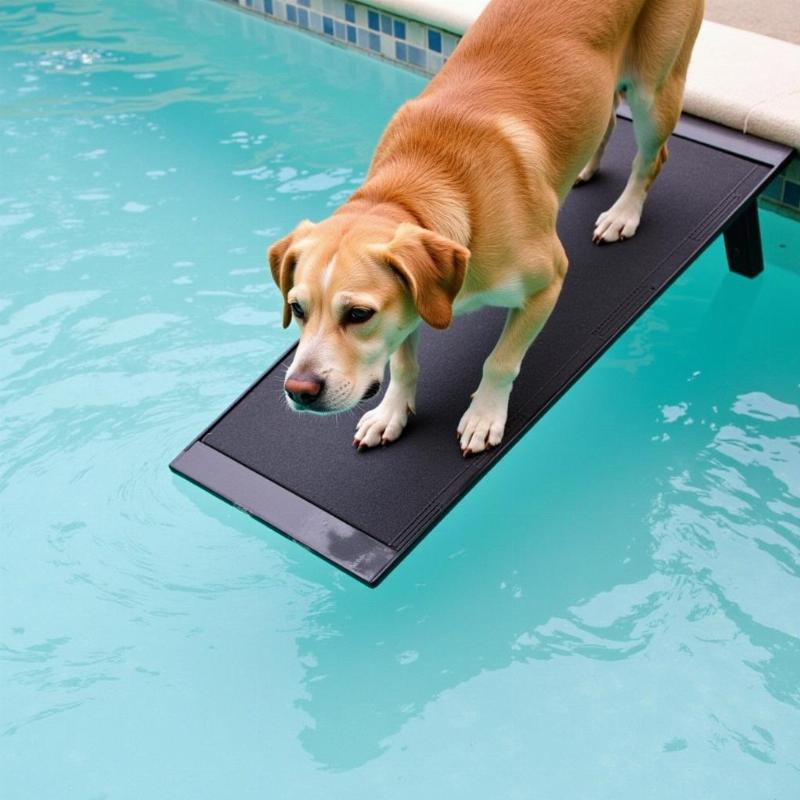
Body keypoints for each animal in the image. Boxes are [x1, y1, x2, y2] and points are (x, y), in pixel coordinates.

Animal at [268, 0, 700, 454]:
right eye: (298, 309)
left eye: (358, 314)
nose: (299, 390)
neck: (413, 186)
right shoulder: (414, 302)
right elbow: (403, 362)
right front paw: (392, 412)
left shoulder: (548, 283)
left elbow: (500, 361)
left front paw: (484, 415)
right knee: (608, 121)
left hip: (655, 91)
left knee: (652, 157)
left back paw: (624, 213)